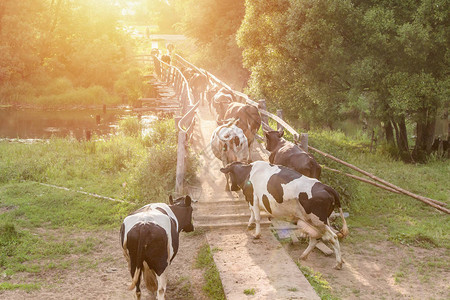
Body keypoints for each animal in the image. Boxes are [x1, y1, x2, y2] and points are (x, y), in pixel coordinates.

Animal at [220, 162, 350, 270]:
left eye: (230, 174)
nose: (232, 187)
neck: (249, 172)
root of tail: (327, 187)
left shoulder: (253, 198)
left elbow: (256, 217)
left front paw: (256, 234)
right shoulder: (251, 200)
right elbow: (252, 213)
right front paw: (249, 226)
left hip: (318, 221)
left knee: (333, 237)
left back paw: (338, 264)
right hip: (311, 221)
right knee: (315, 238)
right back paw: (303, 256)